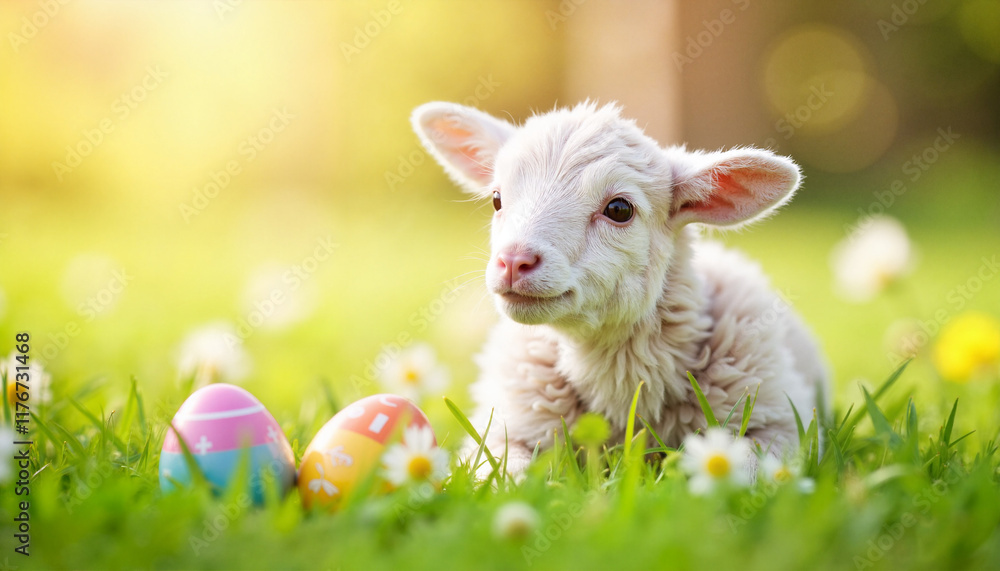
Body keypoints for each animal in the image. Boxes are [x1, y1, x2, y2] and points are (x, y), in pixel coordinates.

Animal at [411, 101, 828, 476]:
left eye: (619, 209)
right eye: (497, 199)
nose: (514, 261)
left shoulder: (778, 426)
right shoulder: (506, 431)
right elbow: (502, 475)